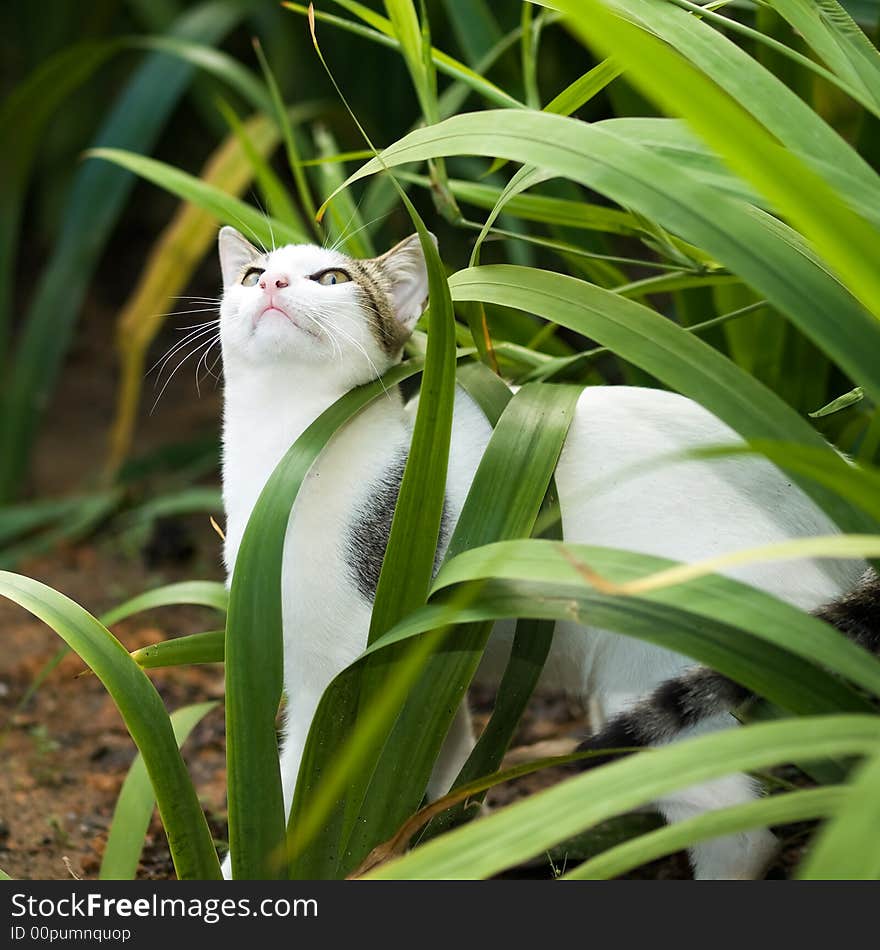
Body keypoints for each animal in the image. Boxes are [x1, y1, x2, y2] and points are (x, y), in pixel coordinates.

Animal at [215, 227, 872, 880]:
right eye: (251, 276)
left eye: (332, 279)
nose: (273, 284)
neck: (286, 449)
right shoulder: (419, 672)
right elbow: (436, 765)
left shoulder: (338, 678)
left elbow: (296, 791)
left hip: (648, 670)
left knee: (739, 834)